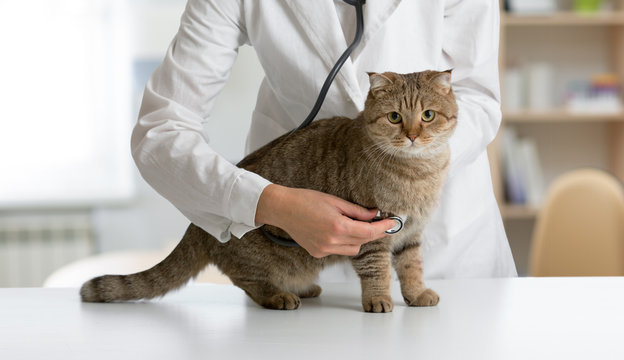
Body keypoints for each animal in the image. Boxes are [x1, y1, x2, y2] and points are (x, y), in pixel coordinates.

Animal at [79, 69, 458, 312]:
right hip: (257, 256)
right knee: (247, 281)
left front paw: (417, 294)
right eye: (395, 117)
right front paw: (379, 300)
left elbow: (411, 267)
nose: (412, 135)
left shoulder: (412, 234)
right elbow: (377, 271)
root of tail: (198, 226)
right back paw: (278, 296)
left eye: (427, 115)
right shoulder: (373, 233)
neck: (418, 173)